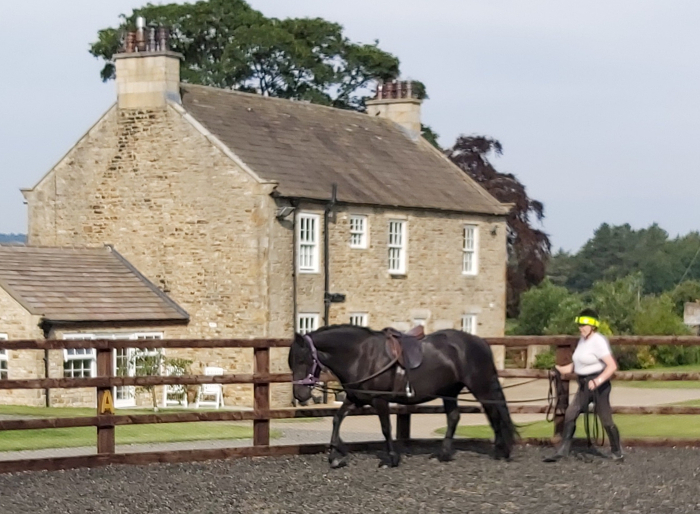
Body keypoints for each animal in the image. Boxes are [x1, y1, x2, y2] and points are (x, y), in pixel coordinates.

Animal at [288, 326, 516, 466]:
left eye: (302, 360)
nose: (299, 395)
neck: (361, 355)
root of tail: (480, 342)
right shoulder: (355, 398)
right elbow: (337, 419)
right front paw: (336, 454)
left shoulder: (379, 400)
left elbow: (386, 428)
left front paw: (391, 458)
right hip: (449, 391)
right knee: (454, 417)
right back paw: (444, 454)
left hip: (481, 387)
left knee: (494, 413)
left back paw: (501, 451)